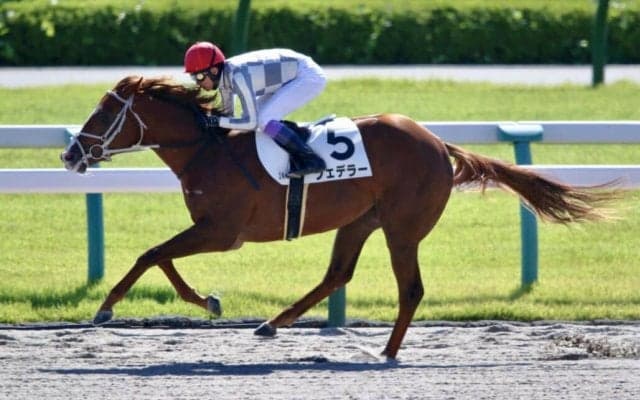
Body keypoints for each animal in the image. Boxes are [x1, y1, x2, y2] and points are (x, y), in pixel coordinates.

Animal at [60, 76, 614, 359]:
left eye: (104, 113)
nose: (70, 155)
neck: (205, 149)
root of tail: (439, 144)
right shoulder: (213, 230)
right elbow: (161, 257)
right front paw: (209, 301)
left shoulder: (223, 231)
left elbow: (151, 254)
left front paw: (107, 307)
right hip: (360, 219)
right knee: (337, 274)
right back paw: (273, 323)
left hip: (402, 228)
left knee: (410, 289)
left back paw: (387, 352)